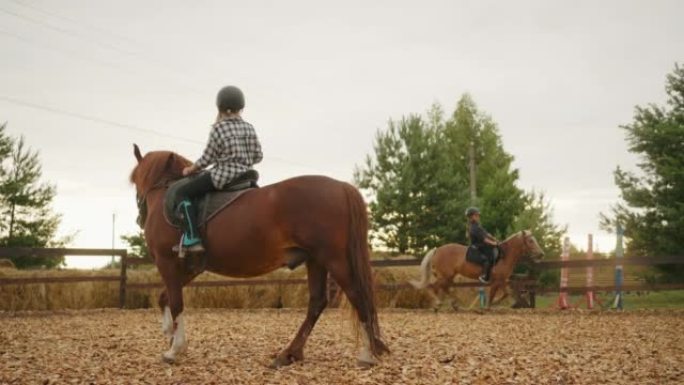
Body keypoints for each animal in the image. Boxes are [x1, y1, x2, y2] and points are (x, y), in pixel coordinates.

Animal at [129, 145, 390, 366]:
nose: (139, 218)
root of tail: (341, 186)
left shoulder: (168, 262)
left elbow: (175, 302)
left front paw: (175, 349)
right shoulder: (191, 267)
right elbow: (164, 297)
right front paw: (169, 334)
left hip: (333, 259)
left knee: (357, 295)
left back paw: (366, 354)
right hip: (316, 260)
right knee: (318, 302)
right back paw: (289, 354)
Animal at [406, 231, 544, 308]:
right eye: (530, 241)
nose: (541, 254)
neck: (504, 255)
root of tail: (437, 250)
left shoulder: (501, 280)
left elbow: (505, 293)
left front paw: (492, 305)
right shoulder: (497, 280)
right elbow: (497, 294)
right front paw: (488, 306)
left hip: (448, 276)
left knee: (444, 288)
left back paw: (453, 304)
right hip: (445, 276)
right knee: (433, 286)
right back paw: (437, 304)